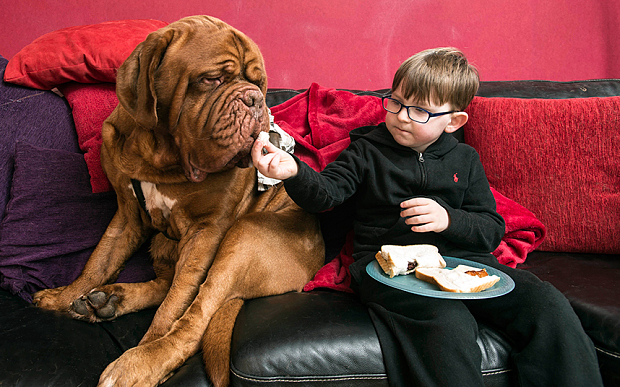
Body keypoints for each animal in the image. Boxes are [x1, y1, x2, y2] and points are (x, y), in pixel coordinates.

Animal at [33, 15, 324, 387]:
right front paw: (63, 297)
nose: (256, 99)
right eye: (212, 79)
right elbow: (98, 261)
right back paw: (108, 299)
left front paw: (147, 355)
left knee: (195, 314)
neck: (158, 156)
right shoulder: (127, 214)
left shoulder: (206, 233)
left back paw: (141, 360)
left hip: (245, 237)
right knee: (167, 284)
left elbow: (175, 306)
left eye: (258, 82)